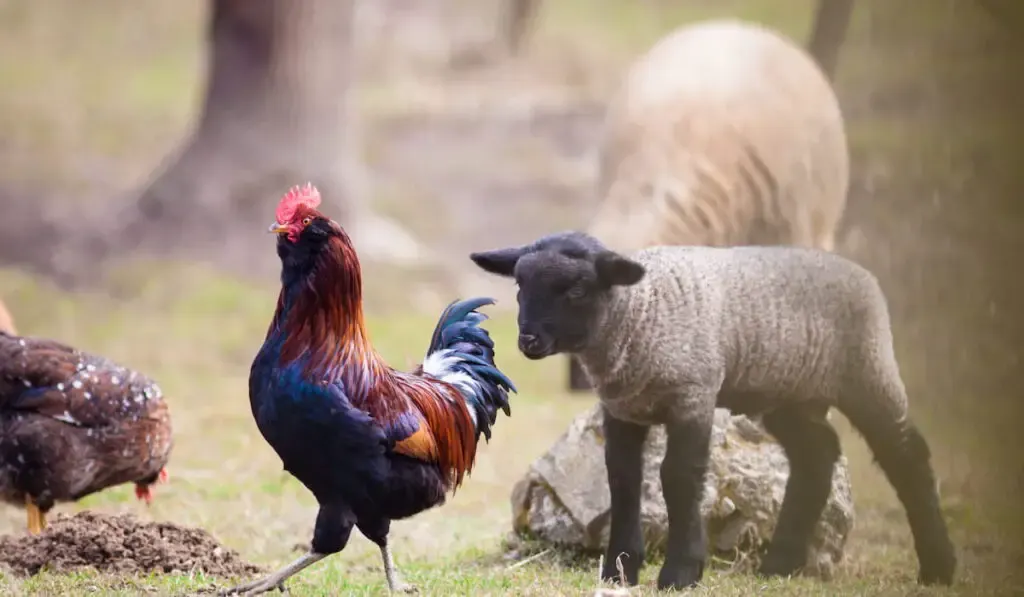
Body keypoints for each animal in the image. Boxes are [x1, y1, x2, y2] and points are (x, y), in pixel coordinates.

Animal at [468, 231, 954, 589]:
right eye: (519, 285)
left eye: (577, 289)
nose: (528, 341)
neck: (639, 313)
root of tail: (860, 272)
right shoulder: (623, 409)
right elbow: (622, 479)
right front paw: (619, 570)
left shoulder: (693, 396)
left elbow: (678, 478)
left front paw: (680, 572)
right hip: (788, 393)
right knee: (817, 454)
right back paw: (780, 564)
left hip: (868, 373)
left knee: (907, 456)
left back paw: (939, 567)